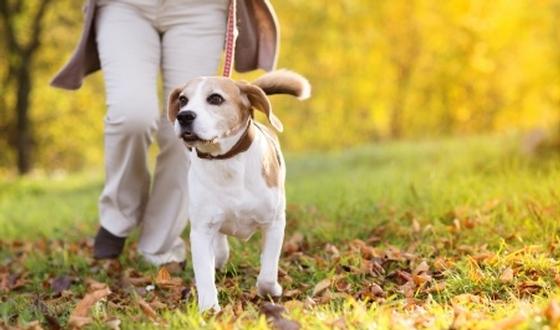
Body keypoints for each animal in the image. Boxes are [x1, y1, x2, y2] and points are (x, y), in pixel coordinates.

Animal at [168, 69, 312, 312]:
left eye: (215, 98)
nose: (184, 116)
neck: (226, 161)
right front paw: (209, 309)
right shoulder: (201, 230)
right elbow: (204, 274)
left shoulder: (274, 223)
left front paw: (271, 290)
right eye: (183, 100)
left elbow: (267, 273)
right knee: (219, 249)